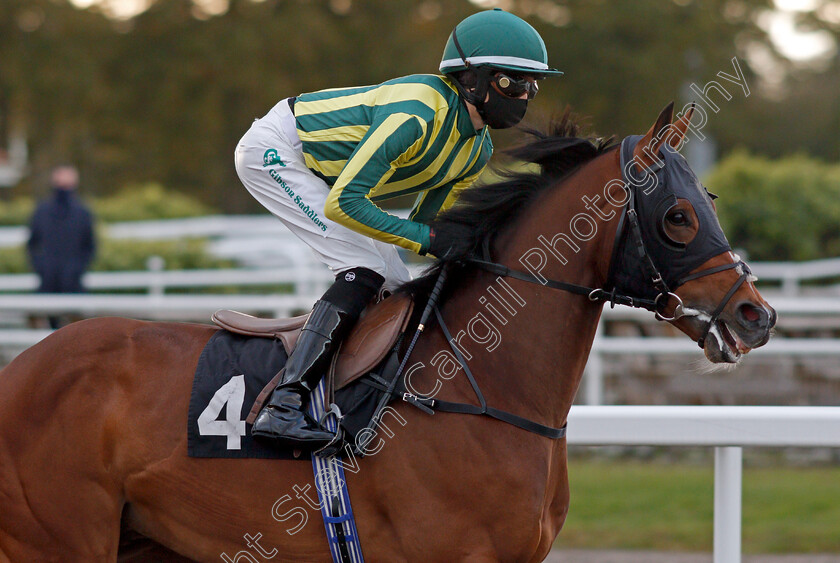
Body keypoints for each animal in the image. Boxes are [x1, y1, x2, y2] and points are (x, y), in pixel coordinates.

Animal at [0, 103, 776, 560]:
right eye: (677, 217)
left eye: (708, 199)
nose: (756, 315)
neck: (478, 388)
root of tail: (21, 368)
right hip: (58, 541)